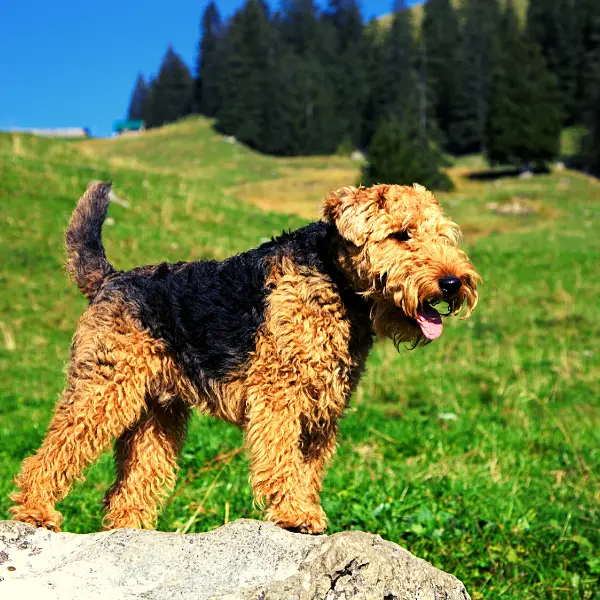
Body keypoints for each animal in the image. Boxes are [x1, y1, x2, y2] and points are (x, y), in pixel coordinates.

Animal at [9, 180, 480, 532]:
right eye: (402, 234)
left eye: (444, 235)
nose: (453, 283)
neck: (334, 281)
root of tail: (109, 279)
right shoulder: (280, 395)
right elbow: (281, 459)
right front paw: (294, 515)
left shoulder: (323, 406)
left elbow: (308, 469)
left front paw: (307, 510)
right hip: (102, 390)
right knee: (48, 454)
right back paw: (36, 513)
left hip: (156, 414)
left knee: (130, 485)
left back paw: (131, 530)